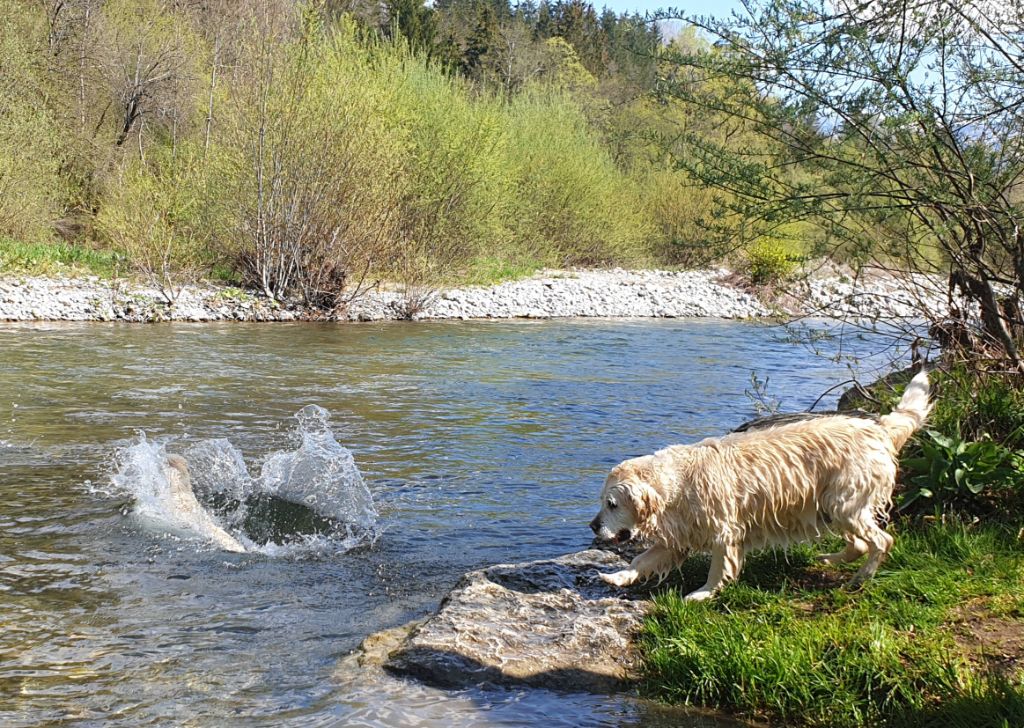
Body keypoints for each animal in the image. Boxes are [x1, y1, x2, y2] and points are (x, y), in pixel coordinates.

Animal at [589, 370, 933, 597]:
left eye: (612, 504)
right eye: (602, 501)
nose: (593, 526)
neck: (677, 485)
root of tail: (878, 427)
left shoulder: (724, 531)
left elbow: (719, 566)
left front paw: (703, 593)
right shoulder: (680, 536)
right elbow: (642, 558)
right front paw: (618, 576)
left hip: (845, 502)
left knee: (881, 541)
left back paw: (861, 578)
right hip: (833, 506)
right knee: (861, 542)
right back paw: (831, 559)